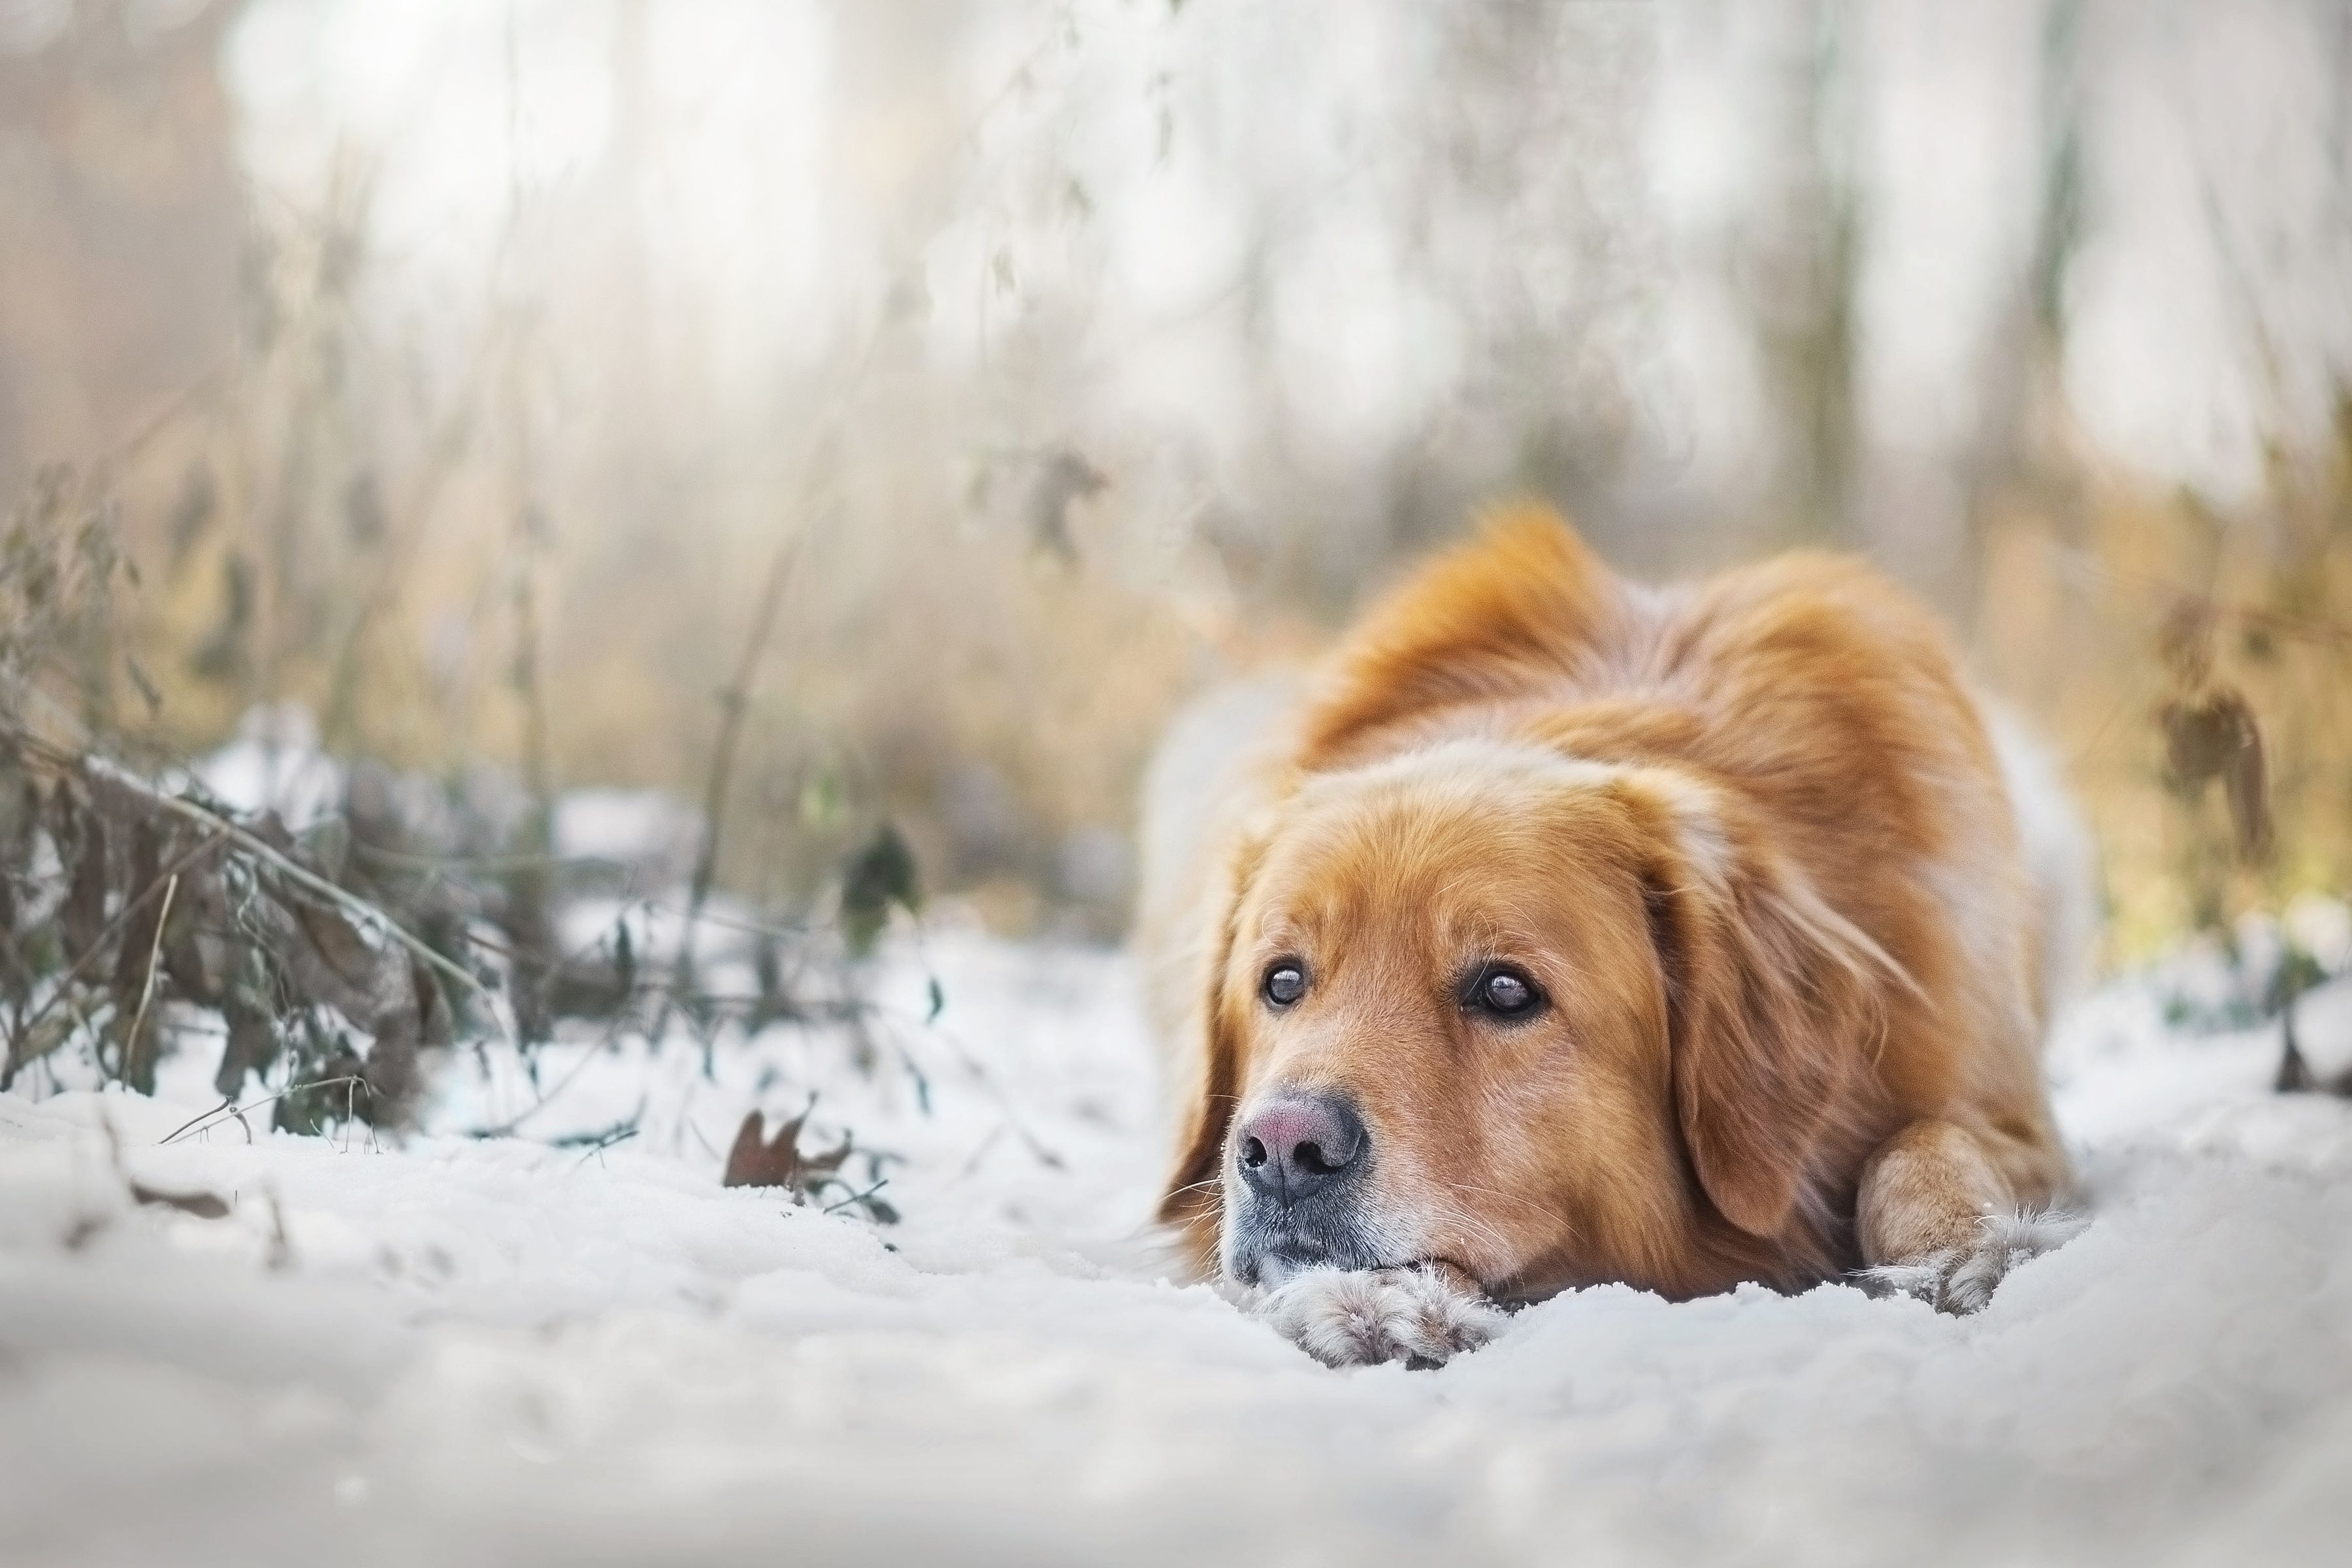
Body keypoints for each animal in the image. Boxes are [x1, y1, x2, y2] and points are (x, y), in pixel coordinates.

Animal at [1129, 510, 2088, 1363]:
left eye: (1506, 990)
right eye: (1283, 982)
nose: (1282, 1150)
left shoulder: (2008, 1111)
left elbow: (1923, 1143)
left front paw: (1967, 1251)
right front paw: (1382, 1298)